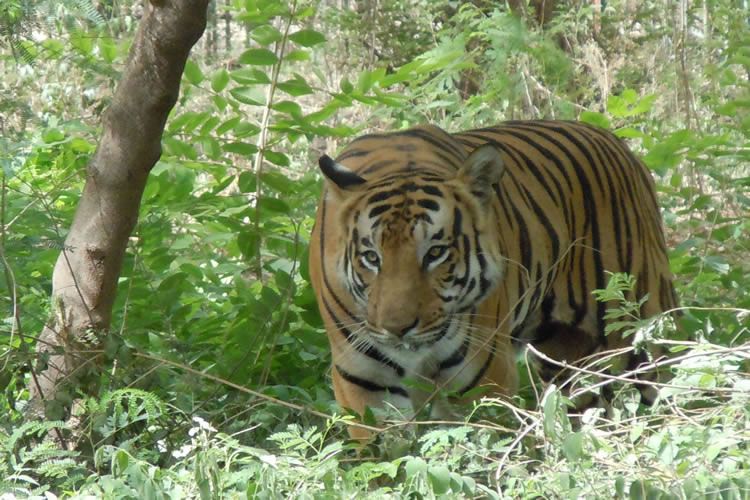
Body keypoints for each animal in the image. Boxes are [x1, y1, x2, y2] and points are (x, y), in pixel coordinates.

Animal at [308, 120, 677, 439]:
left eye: (435, 253)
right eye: (372, 257)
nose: (397, 329)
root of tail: (612, 137)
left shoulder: (482, 380)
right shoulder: (365, 384)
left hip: (641, 328)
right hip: (561, 354)